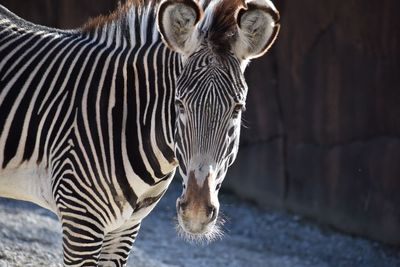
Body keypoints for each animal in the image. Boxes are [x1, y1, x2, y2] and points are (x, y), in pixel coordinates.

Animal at [0, 0, 278, 266]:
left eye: (238, 109)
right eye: (179, 104)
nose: (196, 212)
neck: (122, 117)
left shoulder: (126, 227)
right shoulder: (80, 218)